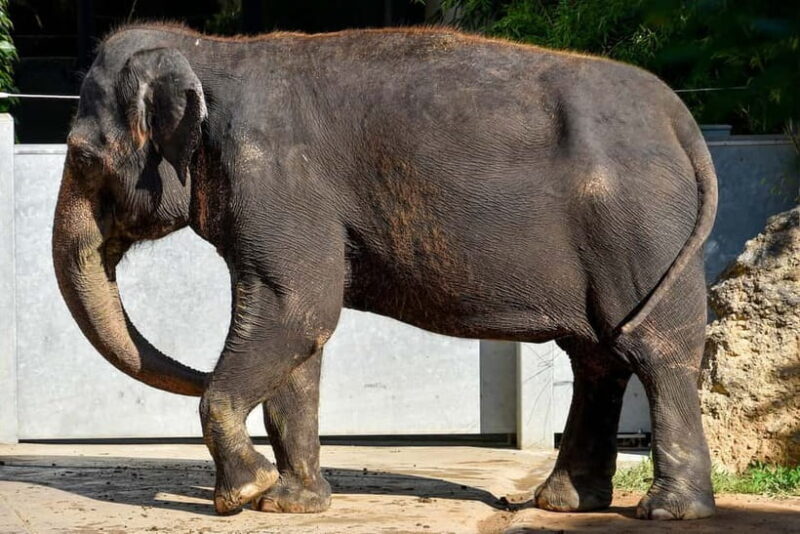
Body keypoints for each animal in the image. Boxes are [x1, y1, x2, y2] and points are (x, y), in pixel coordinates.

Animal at [52, 23, 718, 520]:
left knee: (653, 352)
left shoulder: (277, 179)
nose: (198, 372)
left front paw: (244, 494)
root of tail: (681, 118)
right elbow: (300, 335)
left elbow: (298, 312)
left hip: (641, 228)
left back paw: (667, 511)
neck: (210, 48)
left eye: (82, 156)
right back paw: (564, 503)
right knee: (597, 359)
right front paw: (292, 504)